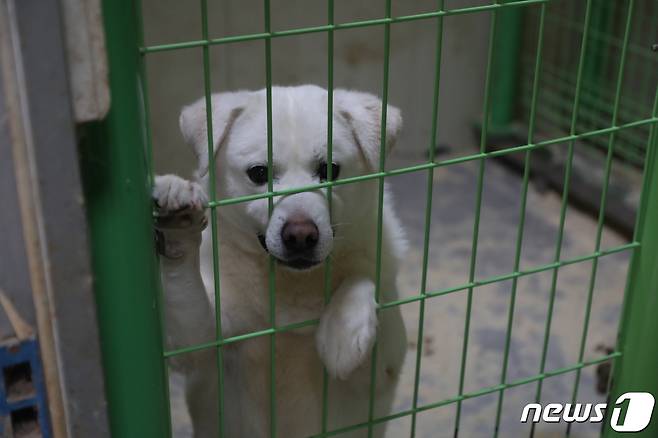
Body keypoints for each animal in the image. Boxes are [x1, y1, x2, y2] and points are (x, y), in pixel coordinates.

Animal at [154, 84, 408, 436]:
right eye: (259, 173)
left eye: (329, 170)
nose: (300, 235)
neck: (292, 285)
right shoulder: (200, 344)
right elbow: (187, 301)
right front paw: (178, 216)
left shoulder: (384, 370)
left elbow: (363, 278)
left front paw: (342, 330)